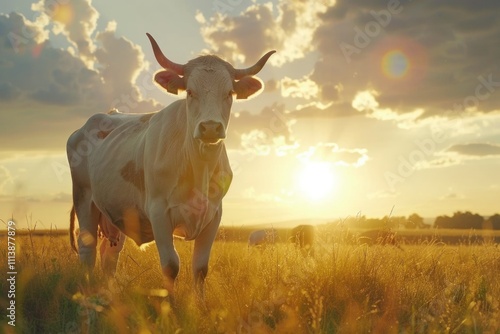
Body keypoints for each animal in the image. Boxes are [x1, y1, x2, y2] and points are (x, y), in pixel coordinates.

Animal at [67, 32, 274, 298]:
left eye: (229, 92)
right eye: (190, 92)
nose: (210, 128)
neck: (198, 167)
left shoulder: (214, 215)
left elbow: (200, 268)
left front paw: (200, 304)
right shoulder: (159, 213)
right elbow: (170, 265)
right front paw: (171, 303)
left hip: (115, 214)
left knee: (109, 257)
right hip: (84, 199)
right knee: (87, 251)